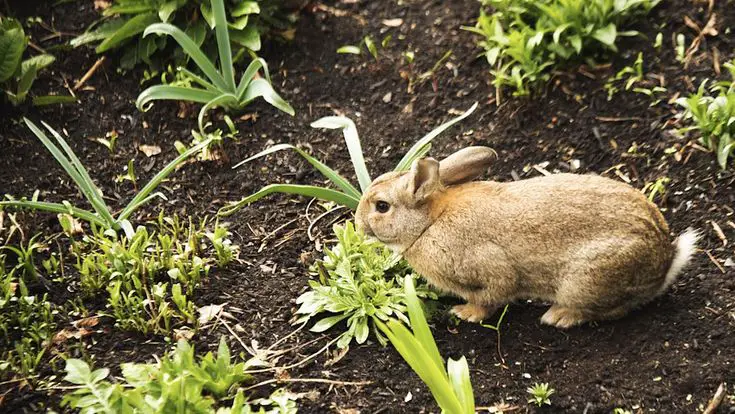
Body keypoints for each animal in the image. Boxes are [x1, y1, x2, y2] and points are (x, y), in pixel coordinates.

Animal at [356, 147, 700, 328]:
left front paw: (465, 314)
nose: (358, 224)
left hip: (588, 278)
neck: (429, 222)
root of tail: (664, 262)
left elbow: (492, 295)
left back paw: (557, 317)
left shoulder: (490, 267)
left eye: (382, 206)